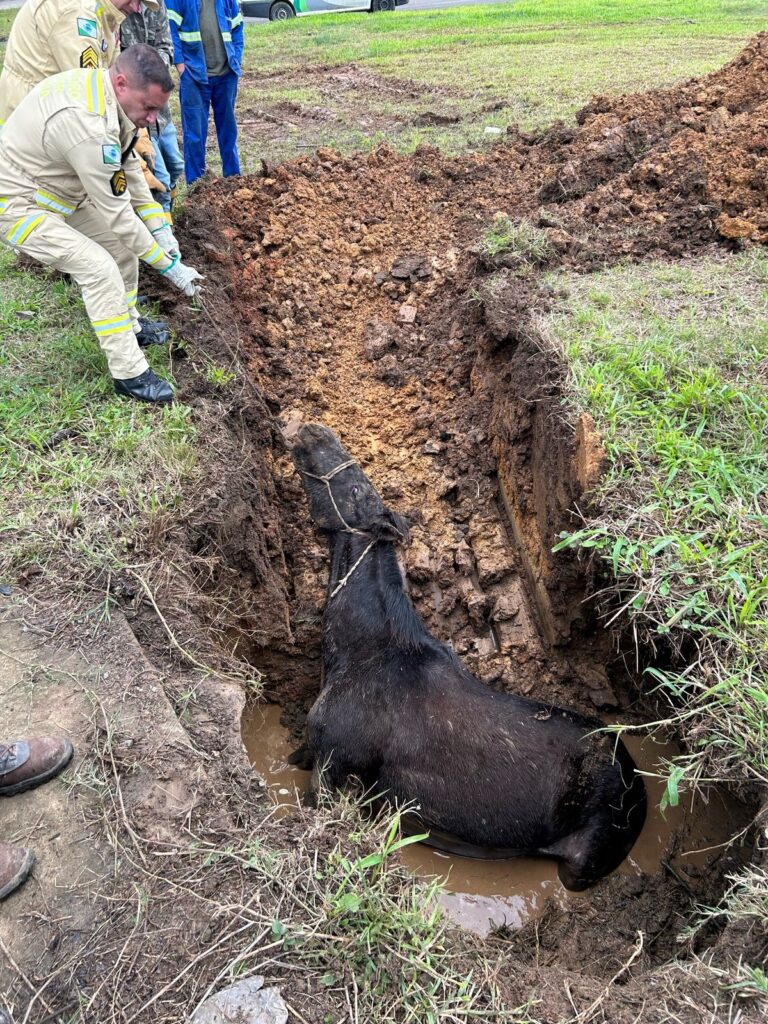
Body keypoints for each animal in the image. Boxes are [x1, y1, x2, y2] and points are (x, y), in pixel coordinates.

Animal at [288, 422, 646, 890]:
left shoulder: (333, 766)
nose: (313, 431)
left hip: (582, 867)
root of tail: (641, 789)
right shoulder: (314, 752)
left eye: (356, 489)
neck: (358, 651)